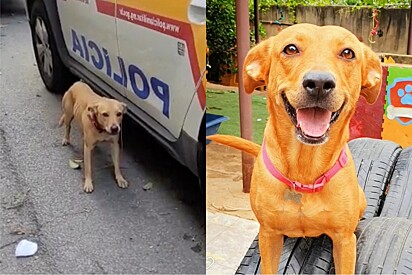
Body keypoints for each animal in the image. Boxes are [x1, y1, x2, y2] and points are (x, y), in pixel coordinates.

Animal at [208, 24, 382, 275]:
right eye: (290, 49)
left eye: (348, 53)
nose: (319, 83)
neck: (304, 170)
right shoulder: (268, 235)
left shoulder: (344, 241)